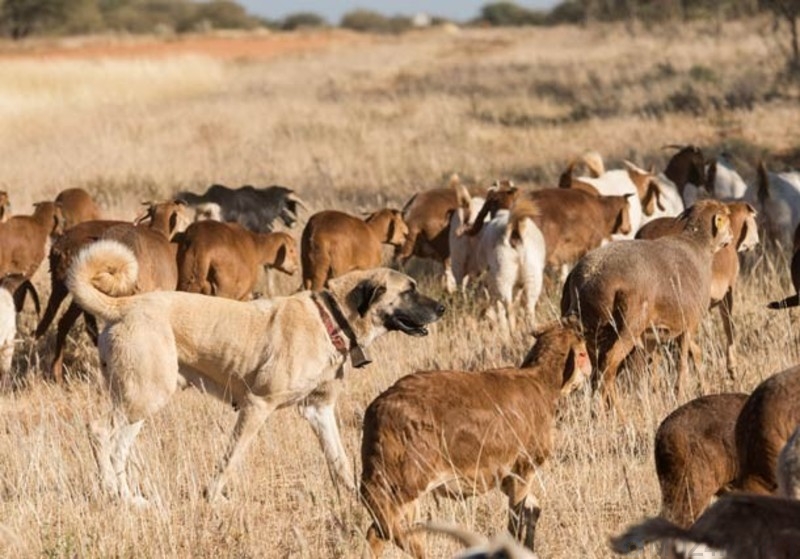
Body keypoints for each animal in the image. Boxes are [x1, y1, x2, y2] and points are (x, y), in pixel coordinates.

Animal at [68, 238, 444, 506]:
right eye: (409, 291)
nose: (442, 307)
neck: (331, 317)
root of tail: (123, 304)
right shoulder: (257, 405)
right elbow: (231, 458)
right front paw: (213, 498)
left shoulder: (318, 410)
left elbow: (339, 461)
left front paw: (359, 502)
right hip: (144, 396)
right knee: (99, 431)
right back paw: (110, 492)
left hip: (140, 401)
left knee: (119, 449)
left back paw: (129, 499)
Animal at [360, 318, 592, 556]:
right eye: (583, 352)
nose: (590, 371)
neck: (541, 383)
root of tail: (376, 410)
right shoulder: (523, 469)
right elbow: (516, 518)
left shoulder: (505, 477)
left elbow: (533, 508)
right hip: (400, 485)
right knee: (383, 533)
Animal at [560, 200, 736, 412]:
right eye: (726, 216)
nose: (732, 236)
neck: (698, 248)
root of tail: (587, 277)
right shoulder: (688, 323)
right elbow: (683, 363)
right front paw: (680, 395)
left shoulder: (657, 334)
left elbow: (690, 354)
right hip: (627, 326)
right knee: (609, 363)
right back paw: (613, 412)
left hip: (593, 330)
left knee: (597, 368)